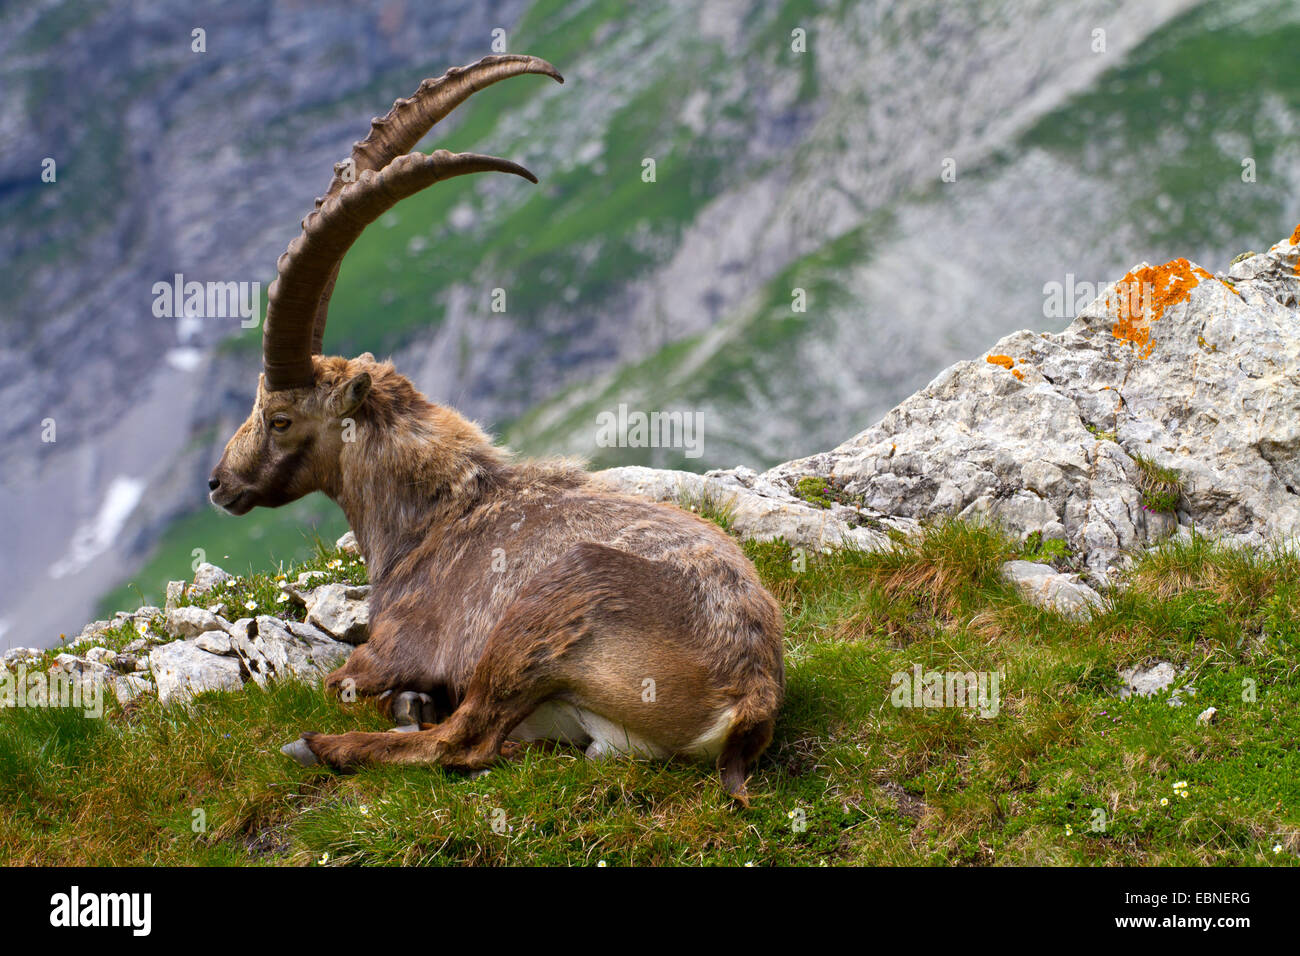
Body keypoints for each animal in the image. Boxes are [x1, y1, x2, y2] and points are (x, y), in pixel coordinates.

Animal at [207, 56, 784, 802]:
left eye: (279, 417)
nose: (220, 483)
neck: (434, 514)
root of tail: (748, 695)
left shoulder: (391, 648)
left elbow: (345, 681)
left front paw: (390, 705)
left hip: (543, 615)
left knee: (465, 741)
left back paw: (320, 745)